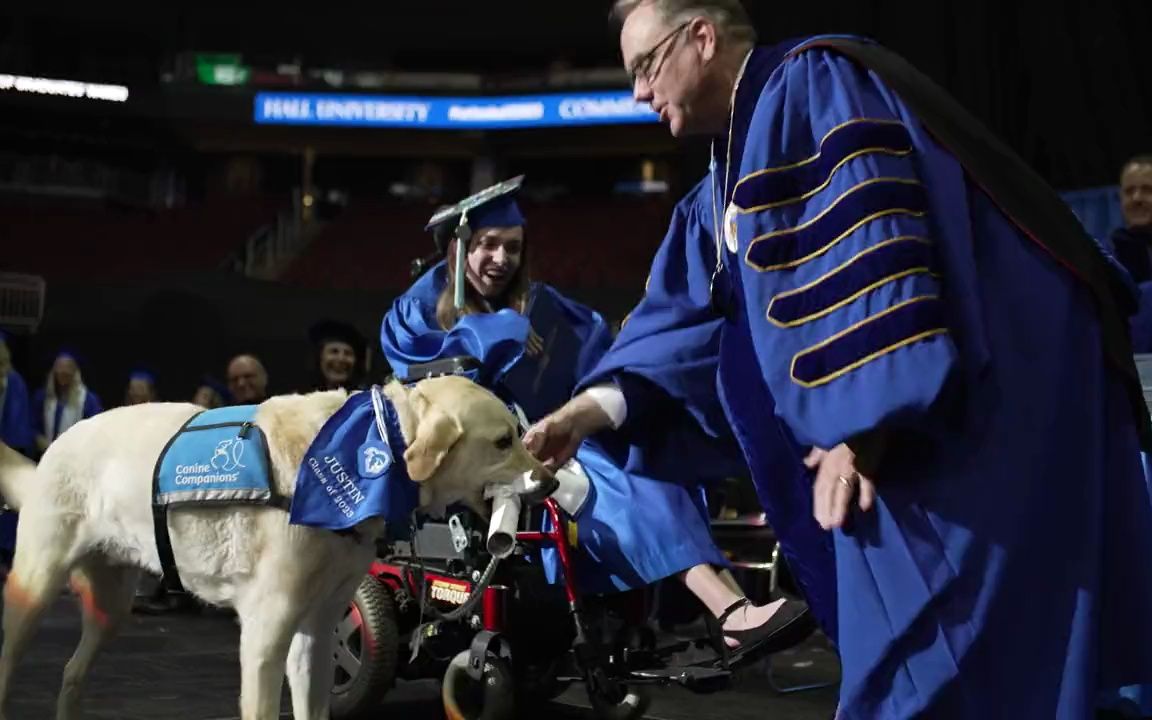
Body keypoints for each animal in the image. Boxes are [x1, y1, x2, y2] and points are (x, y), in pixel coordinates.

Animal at [0, 373, 546, 714]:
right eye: (503, 442)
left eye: (518, 435)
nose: (549, 482)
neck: (377, 443)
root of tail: (57, 443)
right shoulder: (267, 631)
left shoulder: (317, 631)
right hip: (34, 590)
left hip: (111, 607)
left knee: (71, 674)